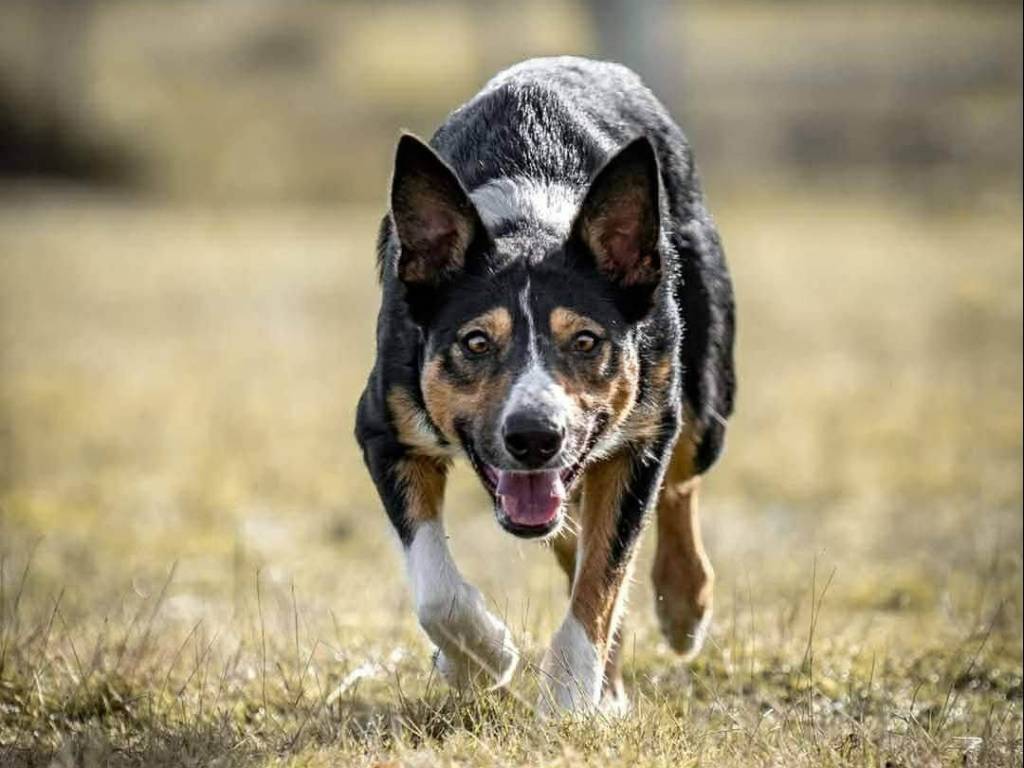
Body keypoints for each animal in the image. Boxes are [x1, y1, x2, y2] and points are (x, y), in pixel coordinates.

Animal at [356, 57, 735, 714]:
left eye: (585, 341)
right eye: (476, 342)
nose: (535, 437)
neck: (531, 212)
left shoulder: (642, 438)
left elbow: (603, 578)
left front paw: (568, 699)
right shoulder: (385, 427)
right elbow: (436, 588)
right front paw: (479, 659)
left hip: (700, 399)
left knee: (678, 484)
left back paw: (685, 606)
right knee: (571, 532)